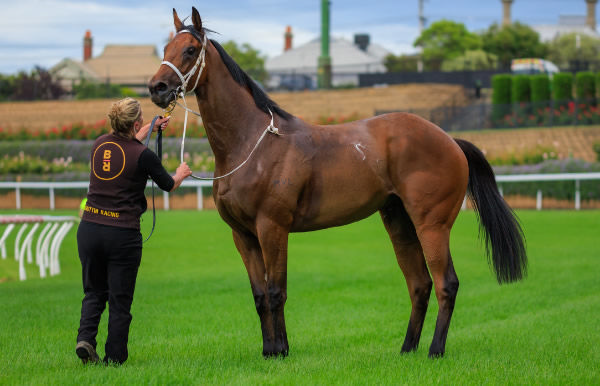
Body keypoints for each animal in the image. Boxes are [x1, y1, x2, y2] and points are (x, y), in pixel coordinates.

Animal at [149, 6, 524, 358]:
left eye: (190, 49)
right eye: (166, 47)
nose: (157, 88)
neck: (253, 143)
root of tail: (450, 141)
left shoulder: (272, 227)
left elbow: (276, 291)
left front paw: (281, 351)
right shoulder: (242, 235)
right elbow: (258, 295)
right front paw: (269, 350)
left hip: (432, 225)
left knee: (447, 283)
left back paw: (435, 350)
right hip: (399, 222)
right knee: (419, 284)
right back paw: (407, 349)